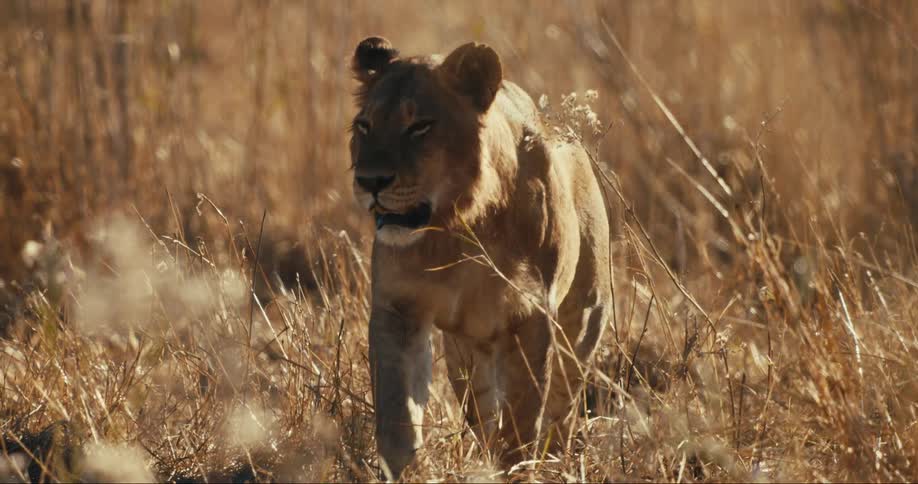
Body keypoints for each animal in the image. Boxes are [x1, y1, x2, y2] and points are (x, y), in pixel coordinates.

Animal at [349, 37, 612, 479]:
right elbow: (397, 409)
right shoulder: (399, 308)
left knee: (561, 406)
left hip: (582, 321)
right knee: (484, 413)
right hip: (466, 355)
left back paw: (555, 457)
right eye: (364, 126)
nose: (370, 182)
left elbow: (524, 415)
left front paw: (519, 469)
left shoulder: (533, 316)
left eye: (420, 126)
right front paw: (402, 469)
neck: (455, 229)